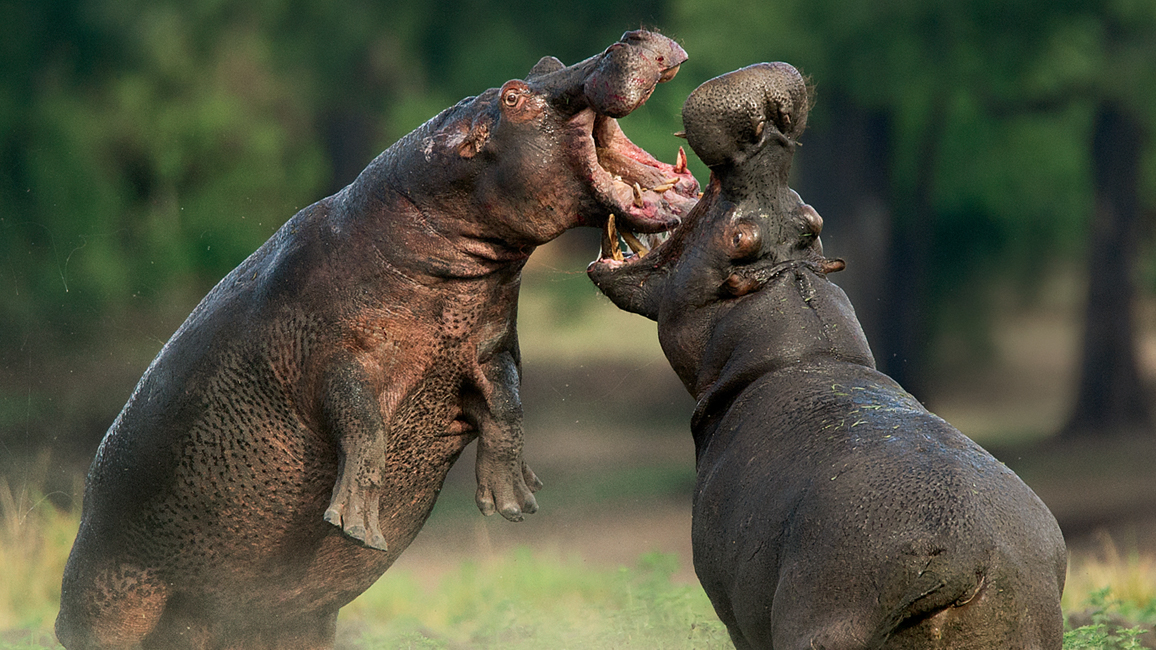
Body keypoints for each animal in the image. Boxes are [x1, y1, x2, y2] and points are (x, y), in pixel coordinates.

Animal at [58, 31, 698, 647]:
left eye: (549, 61)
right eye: (514, 96)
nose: (631, 37)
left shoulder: (491, 348)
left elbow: (510, 405)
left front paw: (515, 498)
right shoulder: (333, 357)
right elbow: (363, 423)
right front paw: (357, 526)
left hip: (293, 625)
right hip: (104, 605)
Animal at [587, 61, 1063, 647]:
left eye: (738, 239)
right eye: (810, 219)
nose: (767, 113)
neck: (801, 340)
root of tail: (969, 560)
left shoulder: (739, 616)